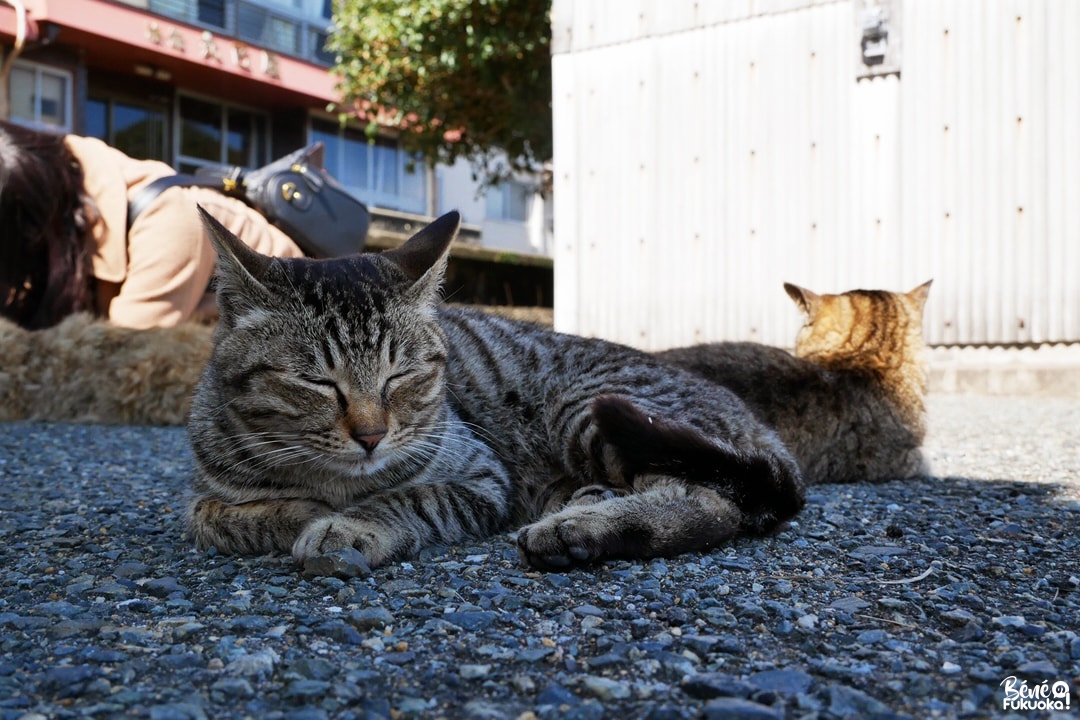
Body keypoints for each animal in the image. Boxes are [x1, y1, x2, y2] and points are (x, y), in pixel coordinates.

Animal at [190, 207, 807, 569]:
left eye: (401, 375)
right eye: (315, 380)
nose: (370, 435)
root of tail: (756, 422)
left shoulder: (482, 477)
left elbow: (410, 497)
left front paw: (348, 522)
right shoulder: (205, 491)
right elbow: (213, 516)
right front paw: (298, 511)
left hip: (592, 408)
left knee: (713, 502)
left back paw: (583, 528)